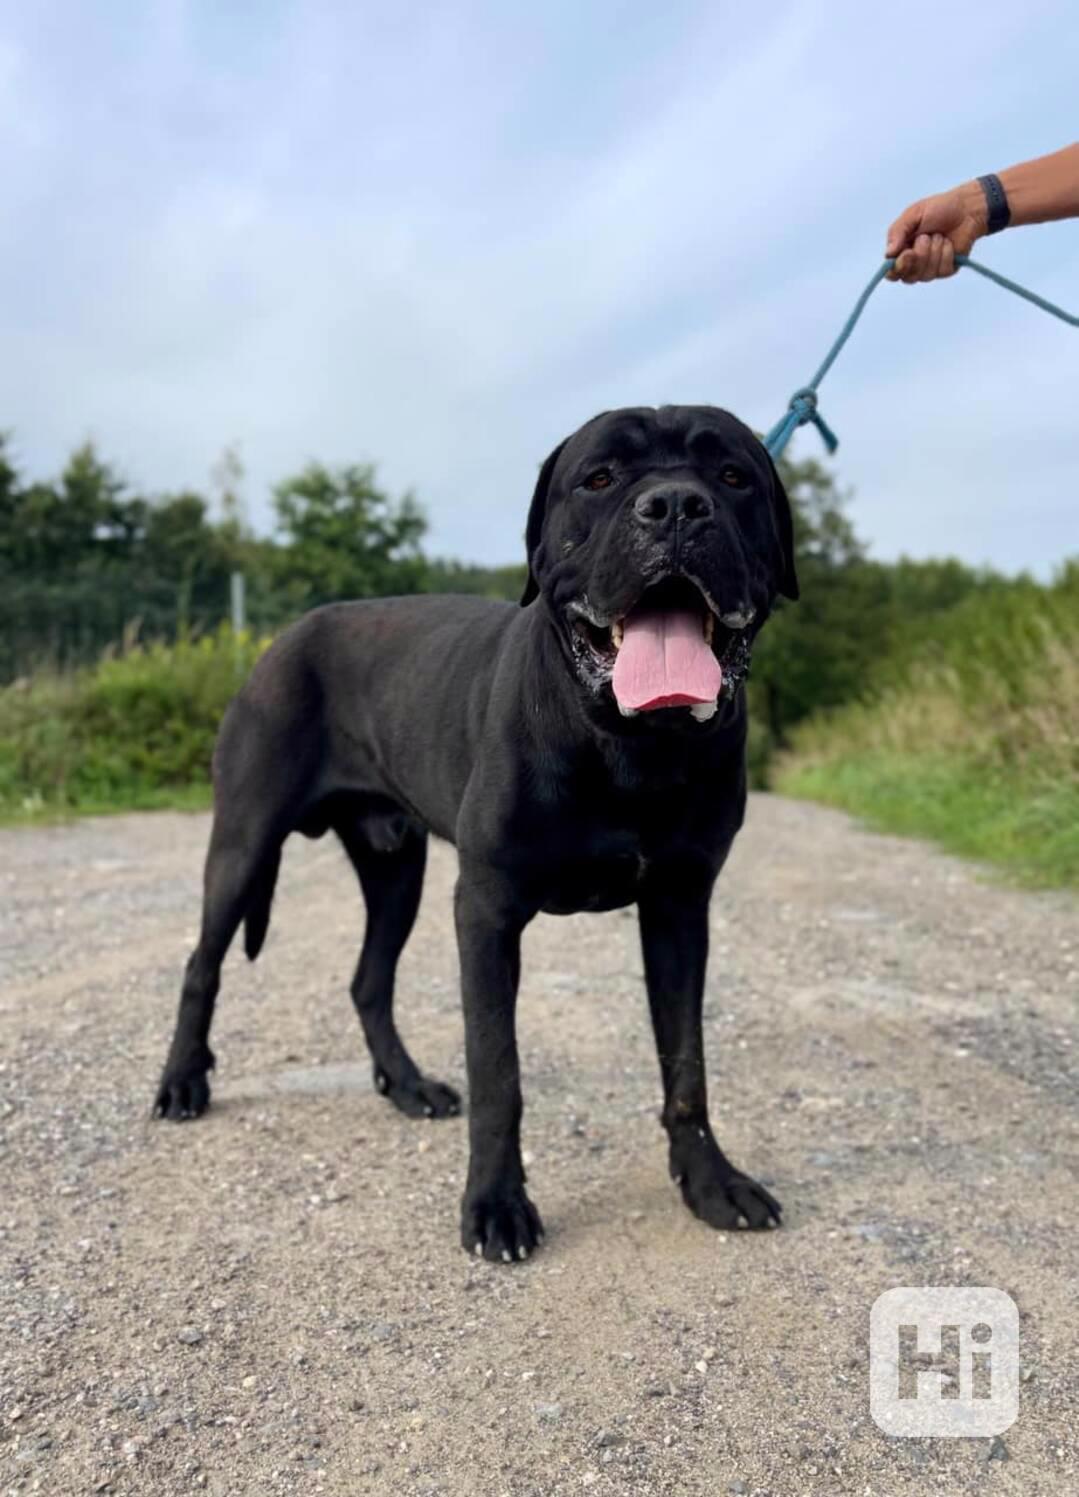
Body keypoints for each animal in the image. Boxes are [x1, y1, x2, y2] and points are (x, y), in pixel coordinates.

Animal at [153, 407, 790, 1263]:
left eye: (731, 476)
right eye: (599, 478)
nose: (675, 507)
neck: (629, 745)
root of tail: (280, 638)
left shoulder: (679, 907)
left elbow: (685, 1063)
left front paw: (709, 1180)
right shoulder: (486, 911)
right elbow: (499, 1071)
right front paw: (496, 1205)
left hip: (396, 866)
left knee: (368, 980)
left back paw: (407, 1085)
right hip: (244, 842)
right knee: (202, 964)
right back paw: (182, 1082)